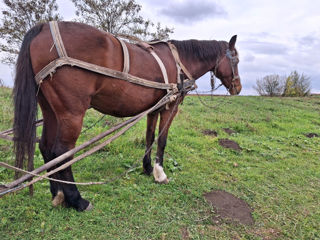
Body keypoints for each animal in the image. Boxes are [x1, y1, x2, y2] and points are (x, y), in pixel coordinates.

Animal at [13, 21, 241, 211]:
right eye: (236, 60)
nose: (238, 88)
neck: (179, 62)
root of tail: (43, 27)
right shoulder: (169, 108)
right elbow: (162, 140)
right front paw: (160, 173)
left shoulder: (153, 109)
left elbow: (149, 138)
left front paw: (147, 168)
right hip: (71, 113)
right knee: (62, 152)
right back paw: (77, 200)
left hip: (51, 110)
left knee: (46, 148)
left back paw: (58, 193)